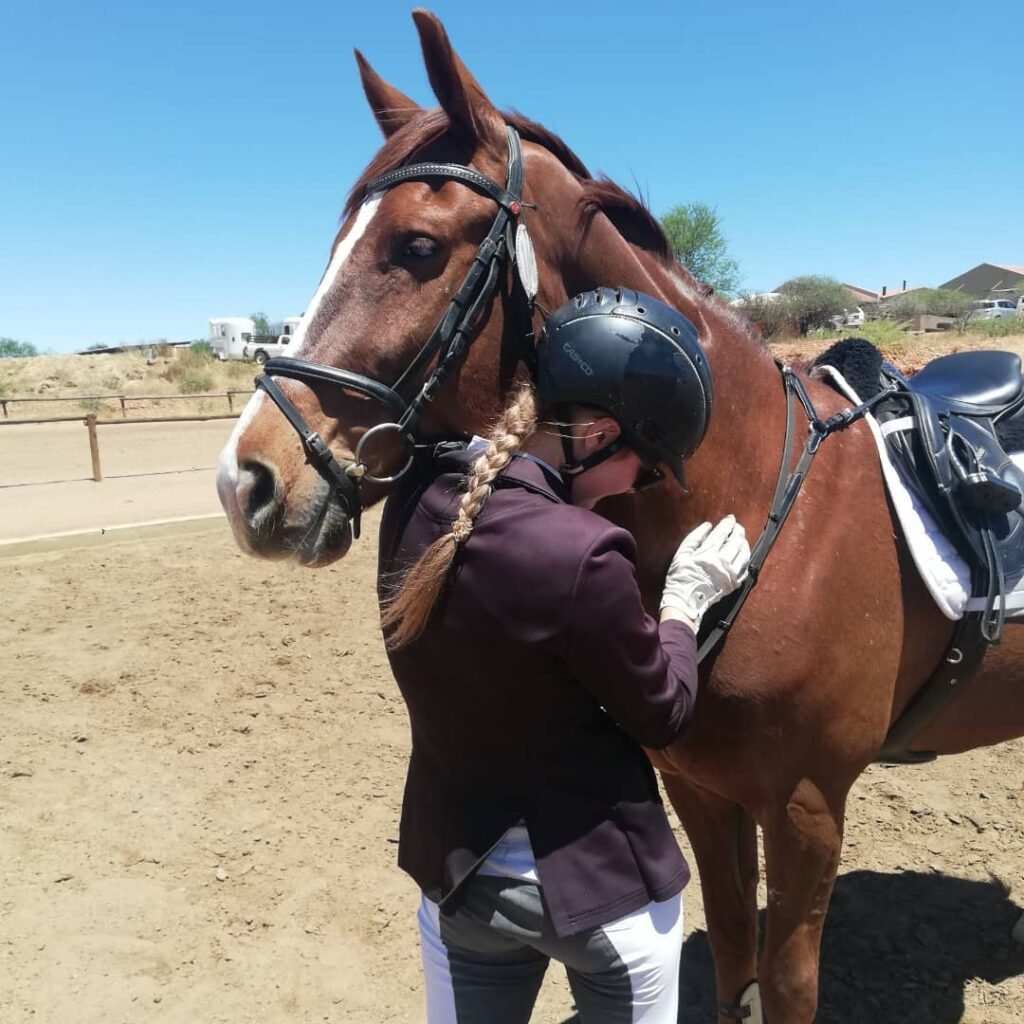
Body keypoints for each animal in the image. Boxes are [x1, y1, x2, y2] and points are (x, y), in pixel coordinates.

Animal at [216, 11, 1024, 1021]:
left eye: (417, 247)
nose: (247, 481)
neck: (762, 506)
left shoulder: (807, 810)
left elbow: (787, 982)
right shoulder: (702, 793)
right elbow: (734, 951)